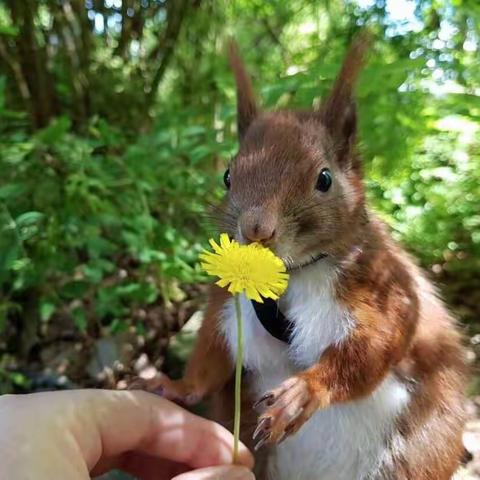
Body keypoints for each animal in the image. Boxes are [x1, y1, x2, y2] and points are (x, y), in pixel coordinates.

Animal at [132, 35, 468, 478]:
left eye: (324, 179)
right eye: (227, 175)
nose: (257, 228)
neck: (290, 276)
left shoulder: (382, 287)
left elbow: (377, 343)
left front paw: (304, 392)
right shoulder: (227, 304)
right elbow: (211, 354)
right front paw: (175, 386)